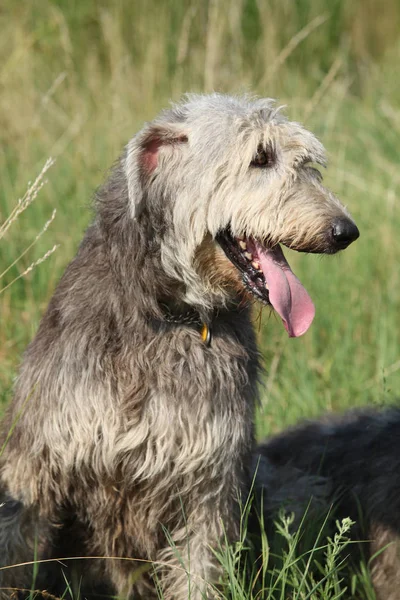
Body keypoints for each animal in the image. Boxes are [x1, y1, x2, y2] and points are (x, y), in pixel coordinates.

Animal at [0, 95, 358, 600]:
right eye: (261, 157)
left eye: (307, 164)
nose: (345, 231)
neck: (169, 318)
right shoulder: (38, 459)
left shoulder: (207, 480)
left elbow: (198, 569)